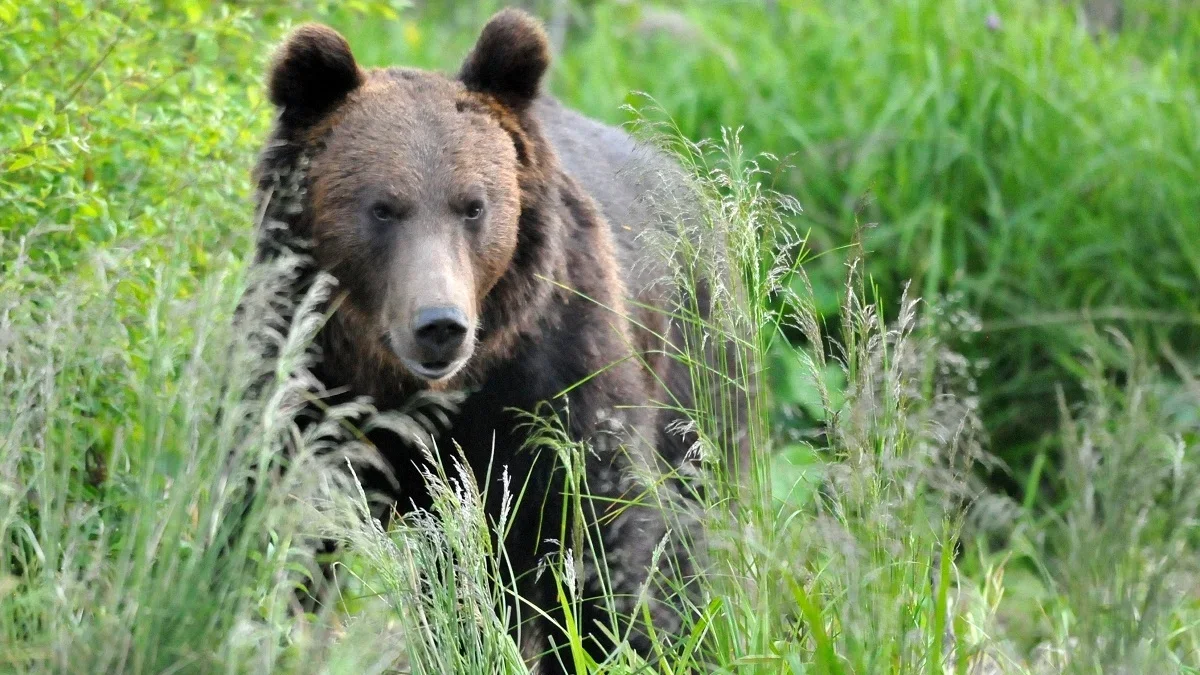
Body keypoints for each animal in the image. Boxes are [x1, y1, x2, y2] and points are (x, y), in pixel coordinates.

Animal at [253, 7, 739, 667]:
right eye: (382, 207)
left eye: (473, 206)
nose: (439, 325)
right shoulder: (309, 375)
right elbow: (288, 522)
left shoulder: (554, 375)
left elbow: (599, 526)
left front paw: (624, 642)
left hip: (698, 371)